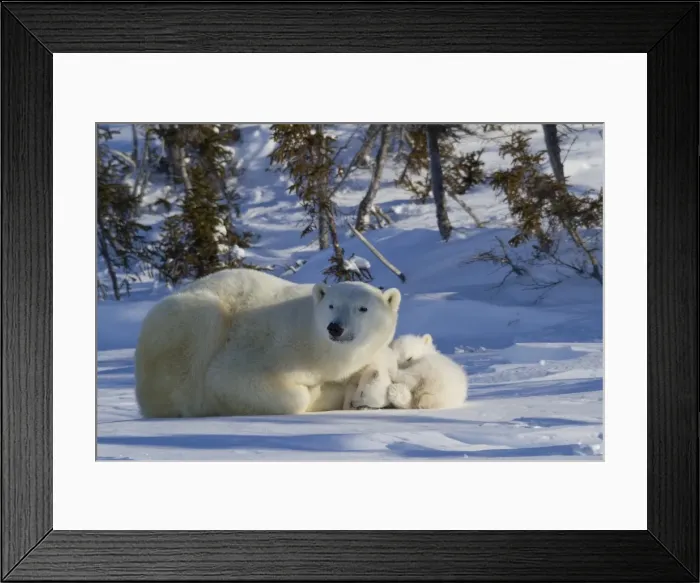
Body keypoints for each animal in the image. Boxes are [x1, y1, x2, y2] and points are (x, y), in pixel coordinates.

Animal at [134, 268, 401, 418]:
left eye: (363, 308)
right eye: (332, 305)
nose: (335, 328)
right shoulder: (272, 346)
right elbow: (227, 379)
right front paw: (318, 392)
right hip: (188, 323)